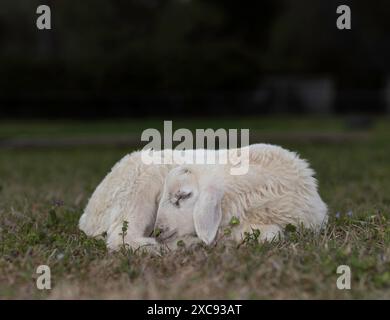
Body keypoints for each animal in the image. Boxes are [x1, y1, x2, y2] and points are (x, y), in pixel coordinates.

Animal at [78, 144, 326, 251]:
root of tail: (87, 218)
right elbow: (272, 234)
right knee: (122, 239)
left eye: (183, 196)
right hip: (138, 189)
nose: (157, 230)